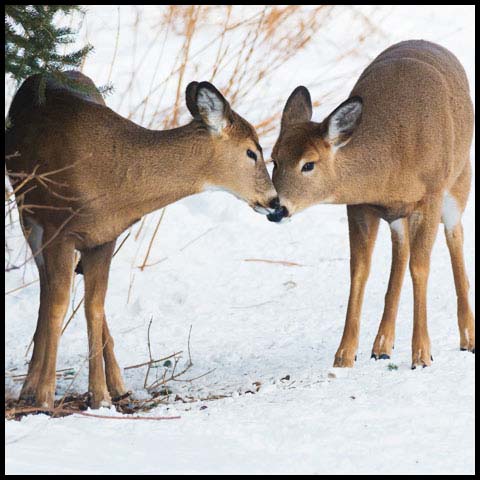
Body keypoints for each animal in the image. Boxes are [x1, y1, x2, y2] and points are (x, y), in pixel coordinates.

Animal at [5, 71, 280, 408]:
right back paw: (31, 387)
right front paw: (44, 397)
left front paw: (100, 397)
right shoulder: (58, 227)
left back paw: (117, 385)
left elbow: (94, 308)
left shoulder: (104, 237)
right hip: (27, 213)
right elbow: (57, 305)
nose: (274, 201)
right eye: (252, 151)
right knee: (47, 290)